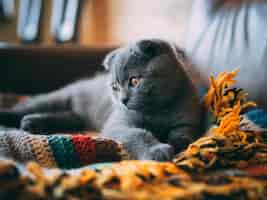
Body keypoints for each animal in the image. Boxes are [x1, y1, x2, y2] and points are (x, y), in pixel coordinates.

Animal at [0, 39, 203, 161]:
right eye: (115, 87)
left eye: (134, 81)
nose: (123, 100)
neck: (157, 110)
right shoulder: (119, 123)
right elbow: (138, 133)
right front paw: (157, 151)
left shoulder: (187, 119)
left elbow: (183, 132)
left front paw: (177, 141)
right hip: (57, 98)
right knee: (27, 106)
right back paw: (17, 118)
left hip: (77, 116)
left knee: (70, 117)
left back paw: (32, 123)